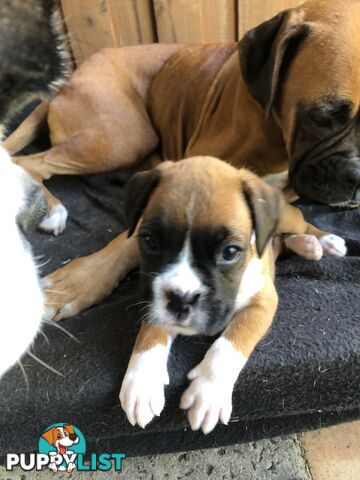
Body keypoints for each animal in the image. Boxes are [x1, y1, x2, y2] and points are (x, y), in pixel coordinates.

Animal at [4, 0, 358, 320]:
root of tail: (68, 81)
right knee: (30, 163)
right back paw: (51, 210)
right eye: (321, 117)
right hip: (124, 137)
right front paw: (79, 282)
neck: (274, 130)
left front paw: (314, 237)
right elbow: (132, 239)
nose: (356, 175)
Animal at [119, 156, 348, 434]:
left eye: (229, 252)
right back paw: (306, 245)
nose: (181, 299)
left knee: (301, 222)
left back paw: (323, 241)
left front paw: (208, 391)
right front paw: (141, 379)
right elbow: (151, 329)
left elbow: (230, 342)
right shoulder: (153, 302)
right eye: (150, 241)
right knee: (283, 240)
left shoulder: (262, 303)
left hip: (287, 218)